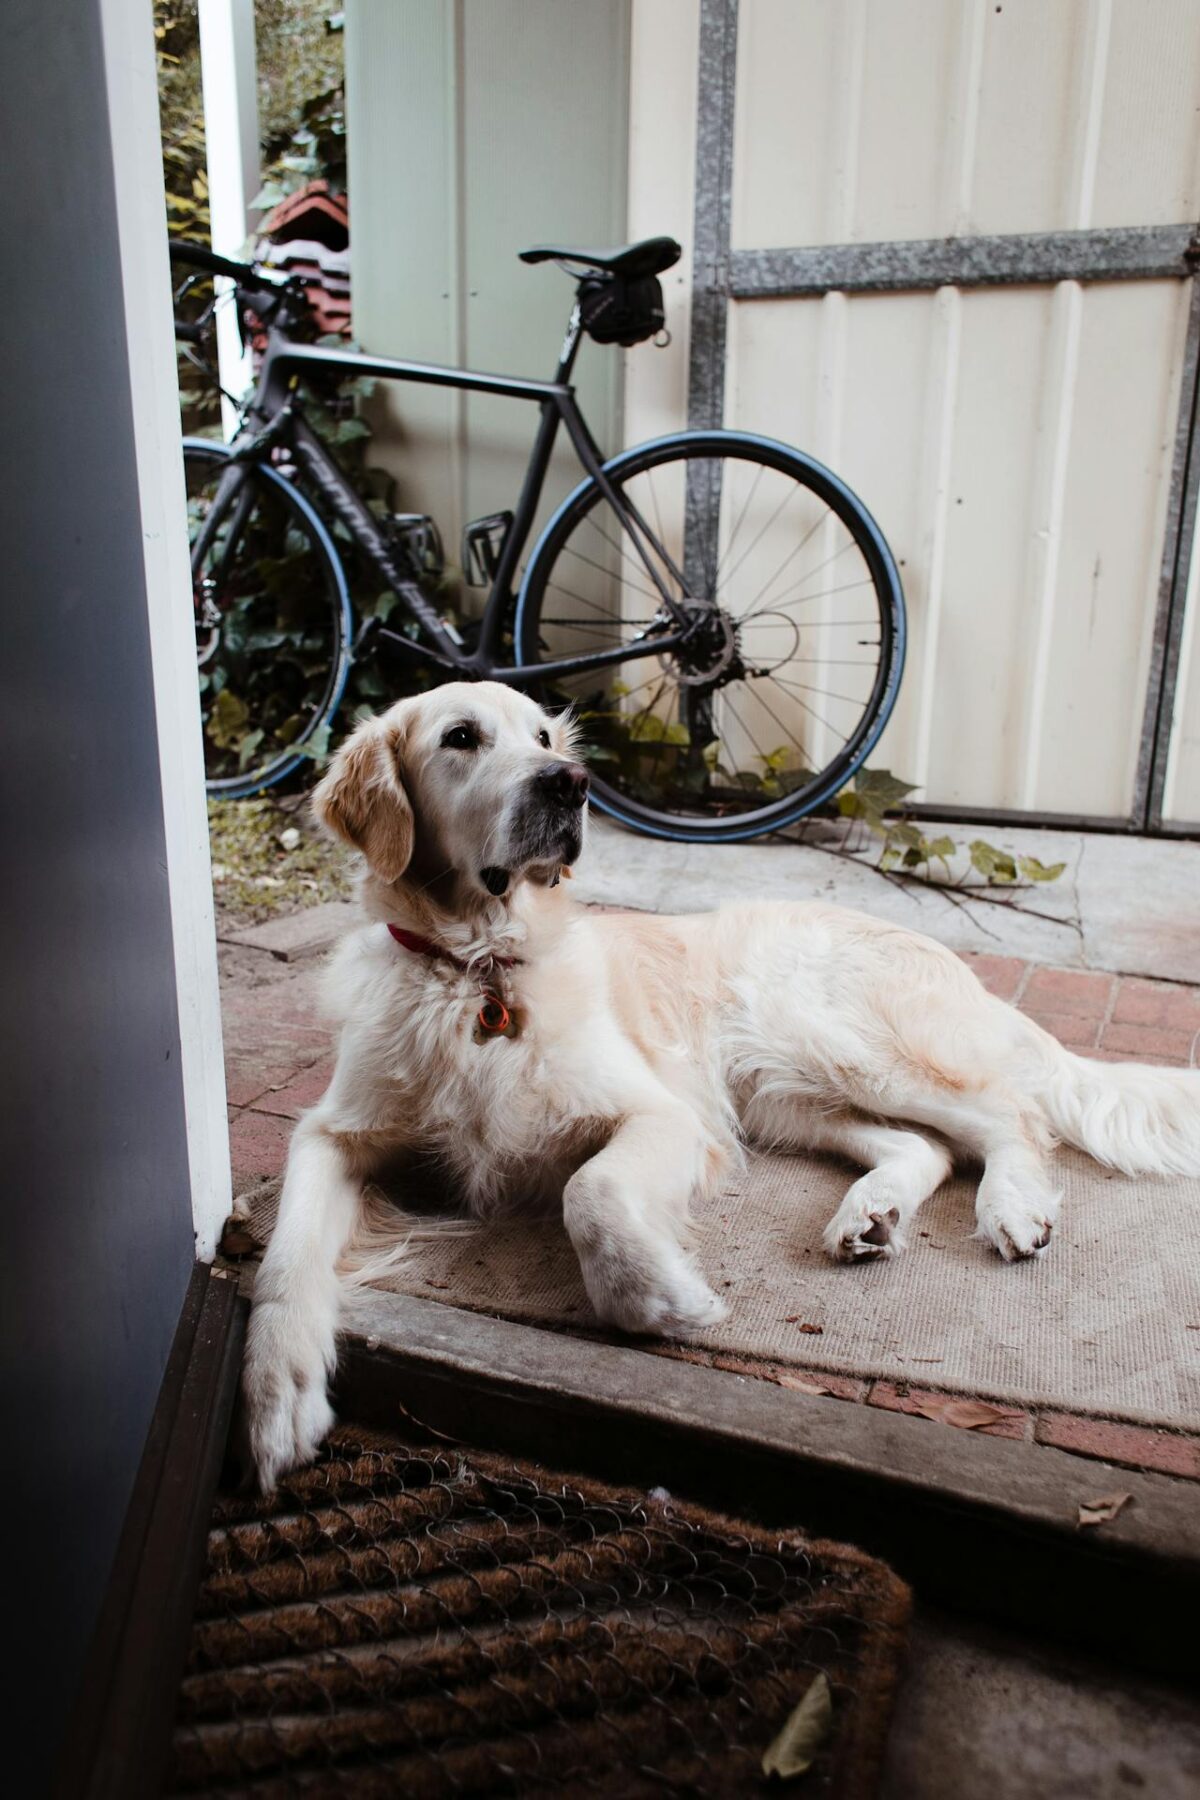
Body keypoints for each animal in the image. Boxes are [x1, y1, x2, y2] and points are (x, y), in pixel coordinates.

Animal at [241, 680, 1200, 1483]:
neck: (476, 971)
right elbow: (284, 1257)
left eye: (544, 734)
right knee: (926, 1147)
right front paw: (277, 1393)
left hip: (835, 1041)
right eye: (461, 737)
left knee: (1010, 1118)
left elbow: (592, 1194)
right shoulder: (331, 1132)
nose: (570, 783)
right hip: (783, 1096)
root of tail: (947, 958)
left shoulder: (663, 1114)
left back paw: (1010, 1208)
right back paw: (870, 1215)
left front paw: (663, 1298)